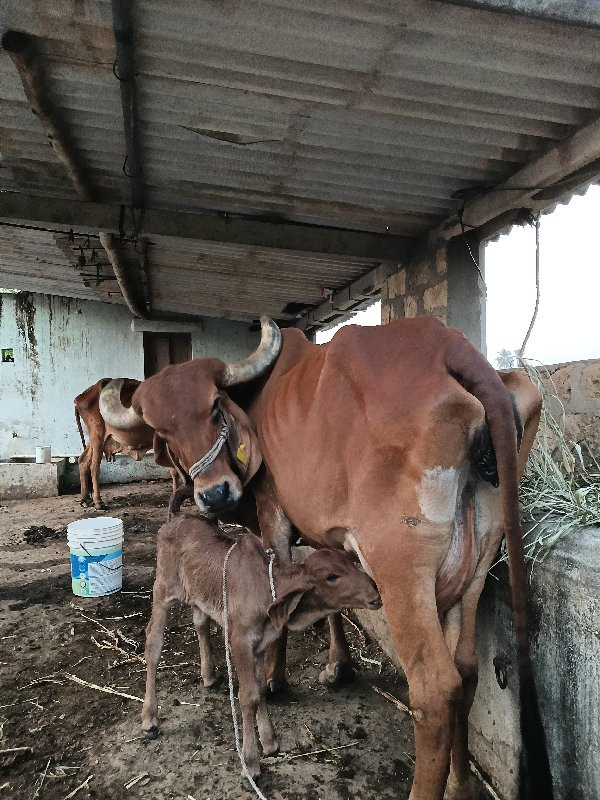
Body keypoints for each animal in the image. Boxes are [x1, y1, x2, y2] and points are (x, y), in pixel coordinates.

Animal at [73, 378, 179, 510]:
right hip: (97, 436)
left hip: (94, 440)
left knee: (83, 460)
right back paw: (98, 501)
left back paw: (86, 499)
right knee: (94, 467)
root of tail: (80, 398)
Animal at [141, 516, 380, 780]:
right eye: (332, 576)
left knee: (200, 622)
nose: (375, 591)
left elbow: (261, 689)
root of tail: (175, 520)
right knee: (153, 645)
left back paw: (209, 676)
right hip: (163, 591)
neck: (265, 587)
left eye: (351, 562)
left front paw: (269, 741)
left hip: (198, 596)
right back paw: (149, 719)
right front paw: (250, 761)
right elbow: (248, 696)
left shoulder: (261, 644)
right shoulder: (240, 642)